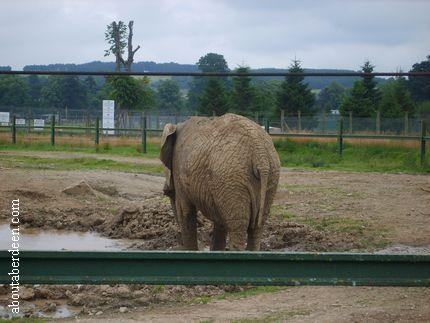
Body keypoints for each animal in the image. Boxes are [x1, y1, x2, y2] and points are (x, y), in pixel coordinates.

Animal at [160, 114, 280, 253]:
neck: (178, 125)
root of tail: (261, 156)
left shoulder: (179, 170)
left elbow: (184, 211)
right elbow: (219, 220)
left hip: (232, 178)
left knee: (238, 227)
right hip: (268, 177)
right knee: (256, 228)